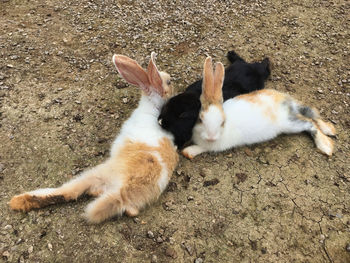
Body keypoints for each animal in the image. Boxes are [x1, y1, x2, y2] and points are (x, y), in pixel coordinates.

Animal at [9, 52, 179, 224]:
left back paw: (17, 201)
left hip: (96, 174)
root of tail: (122, 193)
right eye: (169, 81)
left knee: (68, 191)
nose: (174, 83)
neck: (153, 107)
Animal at [182, 57, 334, 160]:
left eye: (222, 122)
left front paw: (188, 152)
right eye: (200, 119)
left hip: (289, 124)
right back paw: (330, 130)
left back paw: (326, 146)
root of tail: (287, 101)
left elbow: (202, 148)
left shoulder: (214, 146)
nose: (211, 137)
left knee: (310, 123)